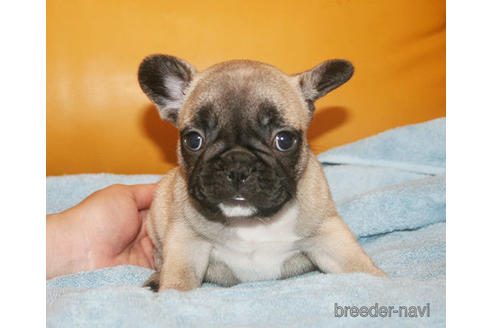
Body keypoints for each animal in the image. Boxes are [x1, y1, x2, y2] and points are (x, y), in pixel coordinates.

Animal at [136, 54, 386, 292]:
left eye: (284, 140)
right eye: (194, 140)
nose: (237, 165)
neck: (250, 222)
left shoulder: (327, 234)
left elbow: (358, 266)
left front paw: (382, 280)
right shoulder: (187, 239)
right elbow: (180, 278)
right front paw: (172, 292)